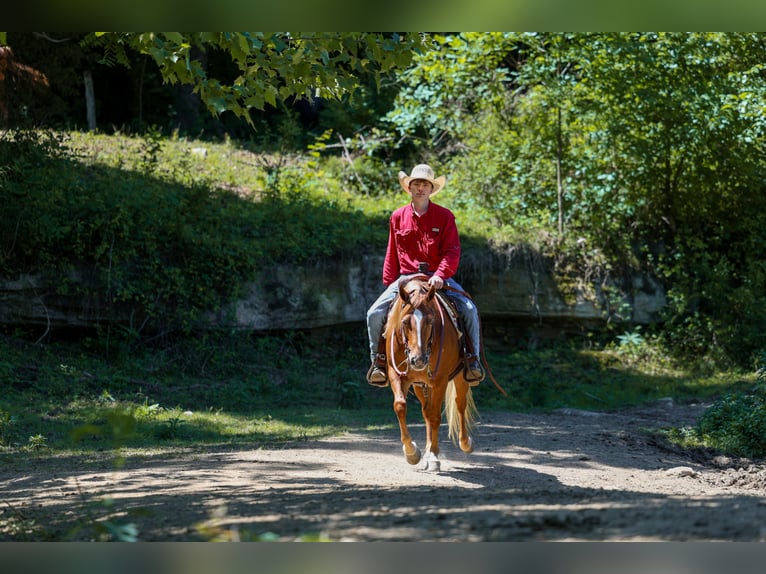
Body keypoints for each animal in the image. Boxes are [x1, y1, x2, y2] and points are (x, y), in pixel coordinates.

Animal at [384, 274, 479, 472]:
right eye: (405, 322)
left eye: (430, 321)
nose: (418, 360)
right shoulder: (396, 374)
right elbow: (400, 406)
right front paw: (412, 453)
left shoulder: (440, 380)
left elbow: (436, 416)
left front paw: (433, 456)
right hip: (420, 385)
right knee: (426, 411)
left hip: (460, 377)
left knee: (460, 404)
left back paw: (465, 443)